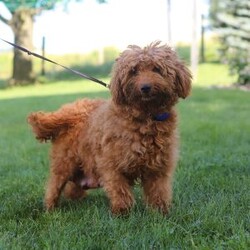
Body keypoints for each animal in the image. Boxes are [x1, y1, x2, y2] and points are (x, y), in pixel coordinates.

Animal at [27, 42, 191, 214]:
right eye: (133, 71)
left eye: (157, 69)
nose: (145, 87)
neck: (146, 117)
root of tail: (68, 113)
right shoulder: (111, 164)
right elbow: (119, 189)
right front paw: (122, 211)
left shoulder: (158, 167)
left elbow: (158, 190)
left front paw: (160, 211)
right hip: (64, 163)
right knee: (54, 185)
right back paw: (50, 208)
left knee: (72, 187)